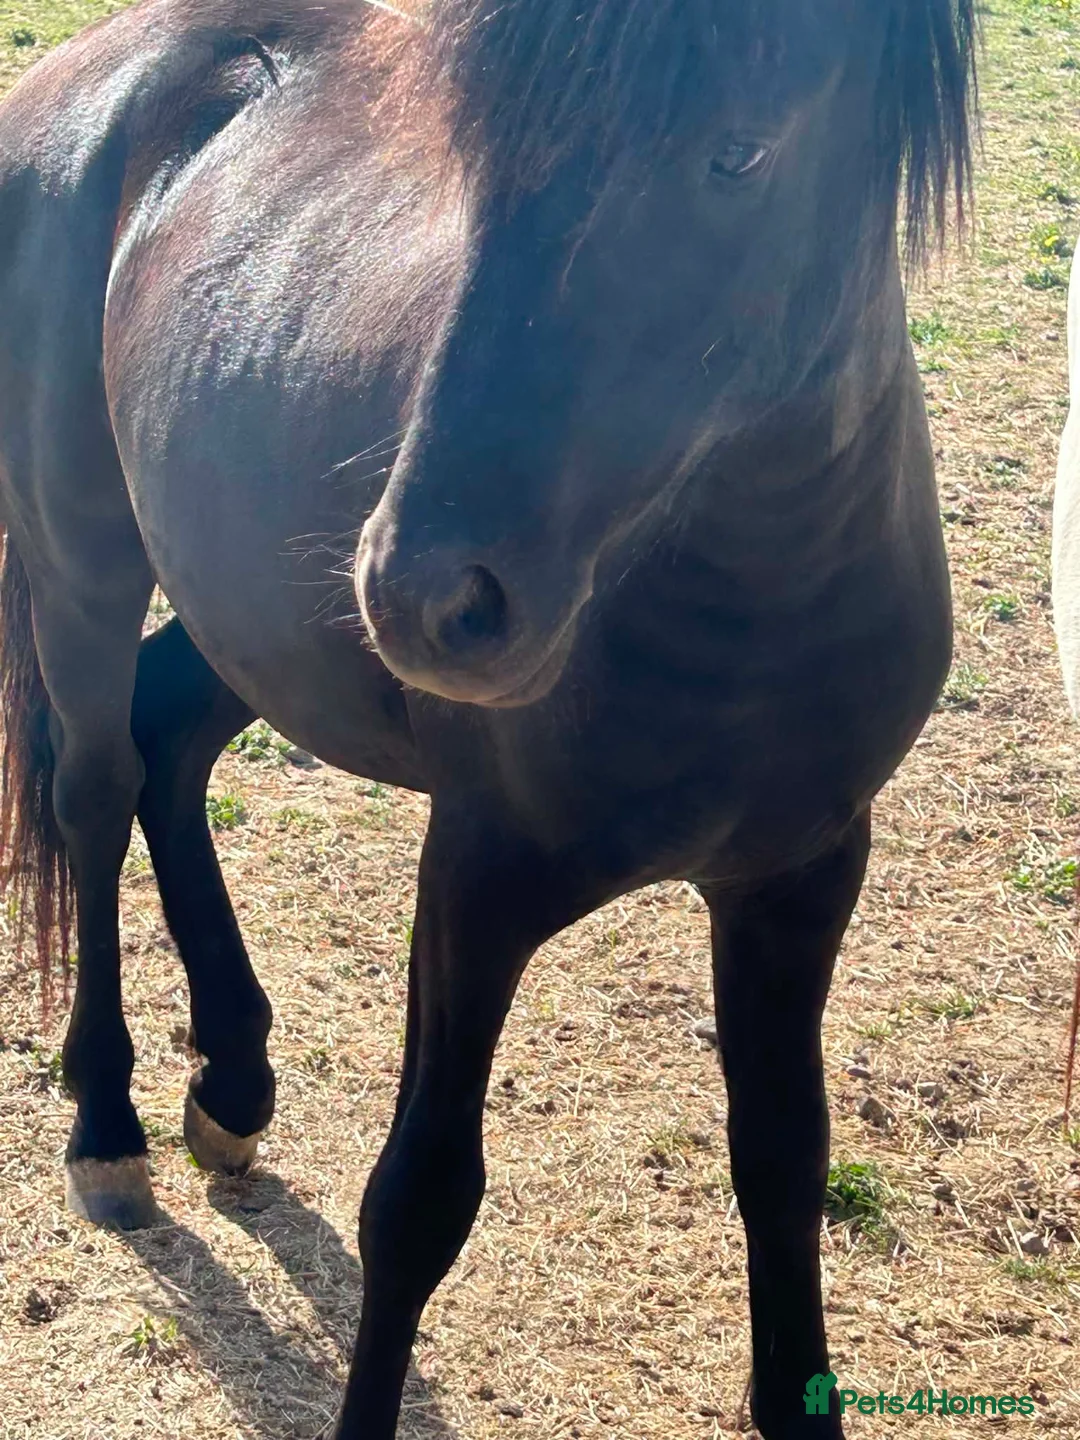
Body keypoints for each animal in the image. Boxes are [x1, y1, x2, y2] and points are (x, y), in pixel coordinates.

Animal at [0, 0, 976, 1434]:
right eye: (472, 146)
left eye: (741, 154)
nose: (422, 594)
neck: (744, 598)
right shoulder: (476, 880)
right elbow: (417, 1205)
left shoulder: (802, 876)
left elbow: (786, 1166)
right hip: (83, 556)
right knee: (94, 788)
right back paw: (107, 1126)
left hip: (249, 611)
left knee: (166, 740)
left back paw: (231, 1082)